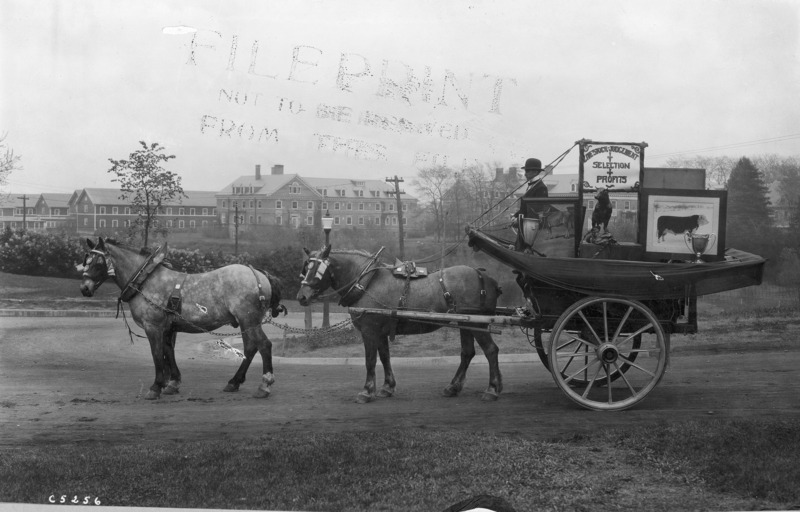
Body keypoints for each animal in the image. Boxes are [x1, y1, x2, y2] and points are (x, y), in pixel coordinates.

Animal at [79, 236, 286, 400]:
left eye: (98, 263)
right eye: (85, 261)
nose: (84, 288)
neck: (146, 280)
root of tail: (259, 274)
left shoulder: (153, 326)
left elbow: (157, 354)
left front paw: (156, 387)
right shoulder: (168, 327)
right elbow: (168, 352)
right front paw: (172, 383)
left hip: (248, 319)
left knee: (264, 345)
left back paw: (264, 385)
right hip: (246, 322)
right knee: (250, 348)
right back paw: (234, 382)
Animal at [296, 244, 504, 404]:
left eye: (316, 270)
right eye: (306, 268)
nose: (301, 297)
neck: (366, 282)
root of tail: (486, 277)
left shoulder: (369, 330)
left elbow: (370, 360)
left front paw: (367, 391)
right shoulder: (380, 332)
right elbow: (384, 357)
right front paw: (387, 387)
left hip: (478, 324)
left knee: (491, 350)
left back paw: (492, 389)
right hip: (467, 324)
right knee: (467, 353)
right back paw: (454, 387)